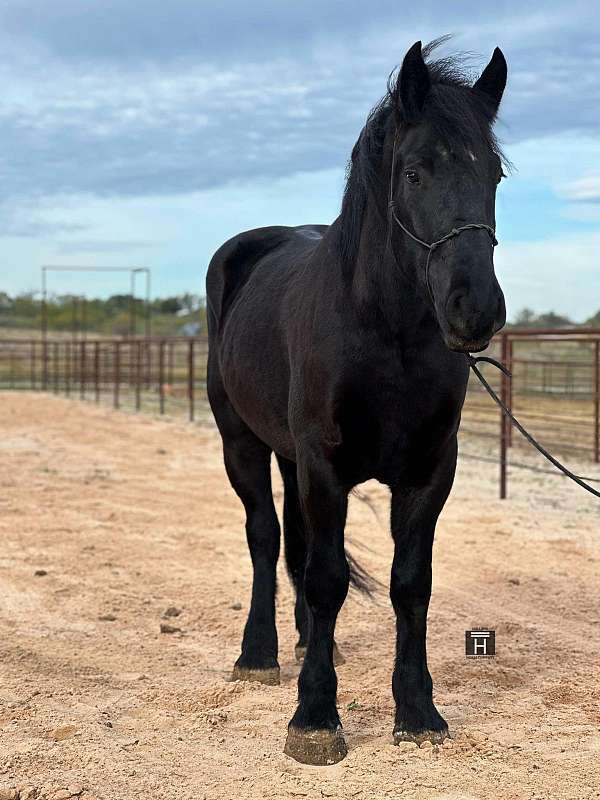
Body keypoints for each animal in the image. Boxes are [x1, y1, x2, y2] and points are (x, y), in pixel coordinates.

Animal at [206, 40, 506, 764]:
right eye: (415, 173)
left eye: (496, 177)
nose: (475, 309)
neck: (384, 333)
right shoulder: (324, 466)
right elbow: (326, 578)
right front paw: (314, 718)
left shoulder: (429, 471)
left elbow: (409, 582)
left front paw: (419, 712)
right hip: (243, 445)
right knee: (265, 538)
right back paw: (259, 656)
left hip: (288, 457)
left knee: (295, 544)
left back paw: (308, 643)